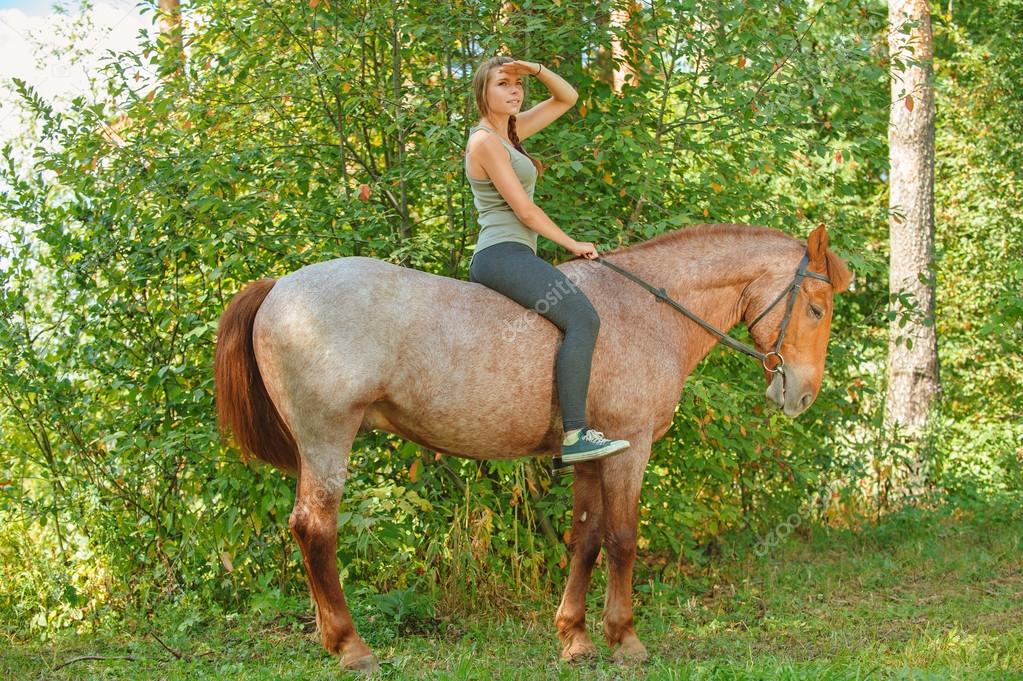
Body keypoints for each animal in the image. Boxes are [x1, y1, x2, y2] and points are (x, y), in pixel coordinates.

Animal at [213, 222, 855, 666]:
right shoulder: (632, 446)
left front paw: (576, 636)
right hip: (328, 438)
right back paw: (351, 647)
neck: (645, 311)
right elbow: (623, 539)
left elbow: (586, 540)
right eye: (816, 307)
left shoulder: (595, 454)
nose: (801, 395)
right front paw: (625, 638)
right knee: (315, 530)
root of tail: (280, 287)